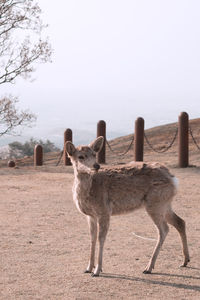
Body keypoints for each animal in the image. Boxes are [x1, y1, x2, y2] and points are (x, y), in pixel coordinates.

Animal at [66, 136, 190, 276]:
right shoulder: (90, 215)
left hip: (155, 203)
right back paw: (185, 261)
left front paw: (97, 270)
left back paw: (148, 267)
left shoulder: (104, 210)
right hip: (165, 203)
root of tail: (174, 180)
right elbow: (92, 238)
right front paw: (88, 268)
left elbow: (101, 238)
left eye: (94, 154)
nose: (96, 165)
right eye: (80, 156)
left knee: (164, 229)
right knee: (180, 221)